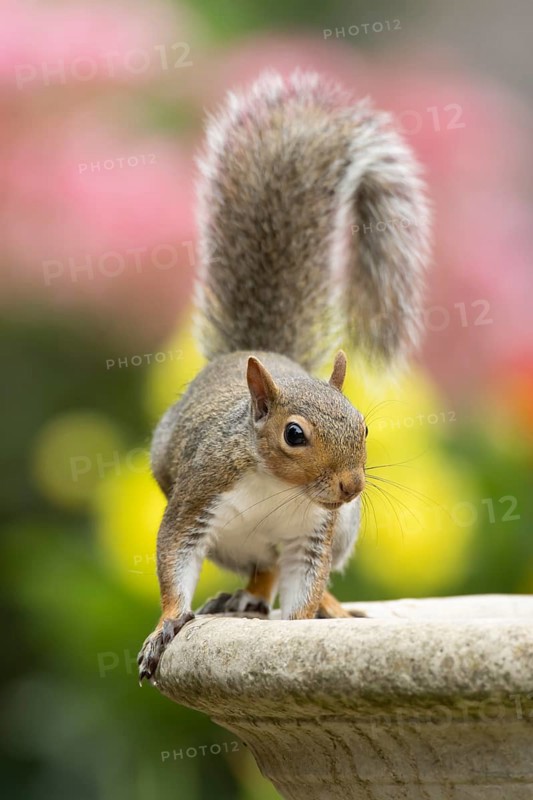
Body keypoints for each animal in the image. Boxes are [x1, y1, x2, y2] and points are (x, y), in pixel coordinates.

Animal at [138, 71, 430, 683]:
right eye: (294, 434)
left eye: (365, 428)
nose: (351, 487)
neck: (279, 487)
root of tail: (258, 352)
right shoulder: (199, 495)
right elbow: (175, 557)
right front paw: (167, 626)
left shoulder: (315, 535)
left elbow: (303, 586)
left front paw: (296, 636)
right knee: (258, 569)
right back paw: (242, 598)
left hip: (343, 530)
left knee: (274, 574)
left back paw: (325, 609)